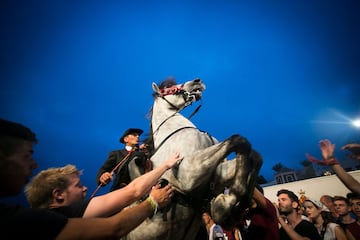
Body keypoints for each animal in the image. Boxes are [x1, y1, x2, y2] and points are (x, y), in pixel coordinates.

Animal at [123, 78, 262, 239]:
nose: (197, 81)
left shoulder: (216, 174)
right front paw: (223, 210)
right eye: (168, 89)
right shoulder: (188, 174)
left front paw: (226, 208)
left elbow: (253, 155)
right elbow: (237, 141)